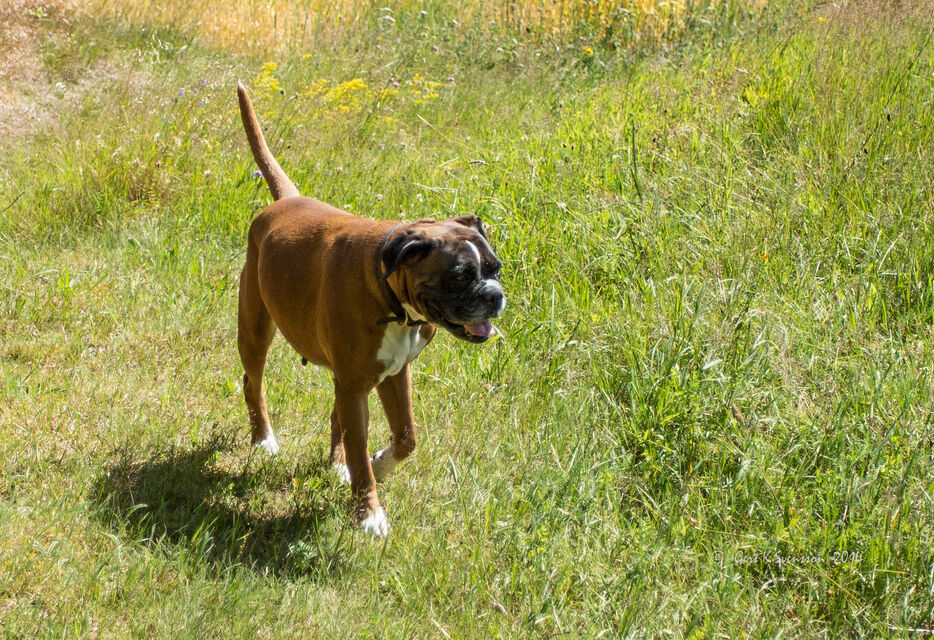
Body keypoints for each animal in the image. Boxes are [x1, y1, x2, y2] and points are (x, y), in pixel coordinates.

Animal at [235, 82, 506, 536]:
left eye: (495, 269)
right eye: (459, 275)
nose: (494, 294)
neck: (391, 297)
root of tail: (285, 201)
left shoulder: (393, 374)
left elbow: (406, 437)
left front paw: (379, 465)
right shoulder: (359, 384)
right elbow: (362, 450)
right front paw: (370, 514)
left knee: (337, 419)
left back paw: (335, 464)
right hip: (256, 331)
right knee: (253, 383)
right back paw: (264, 440)